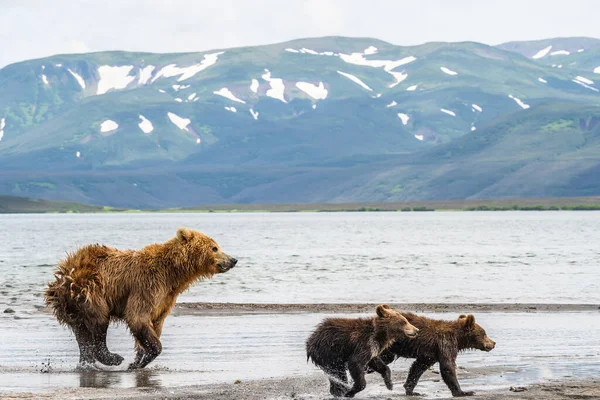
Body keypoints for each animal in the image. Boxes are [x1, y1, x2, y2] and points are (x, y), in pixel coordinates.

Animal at [45, 227, 237, 370]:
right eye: (214, 247)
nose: (233, 259)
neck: (173, 274)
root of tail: (63, 274)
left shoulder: (165, 298)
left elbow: (154, 323)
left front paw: (139, 358)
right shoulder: (147, 285)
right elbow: (138, 316)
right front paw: (139, 360)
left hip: (73, 306)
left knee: (82, 333)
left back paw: (87, 362)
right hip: (89, 290)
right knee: (99, 320)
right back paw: (112, 357)